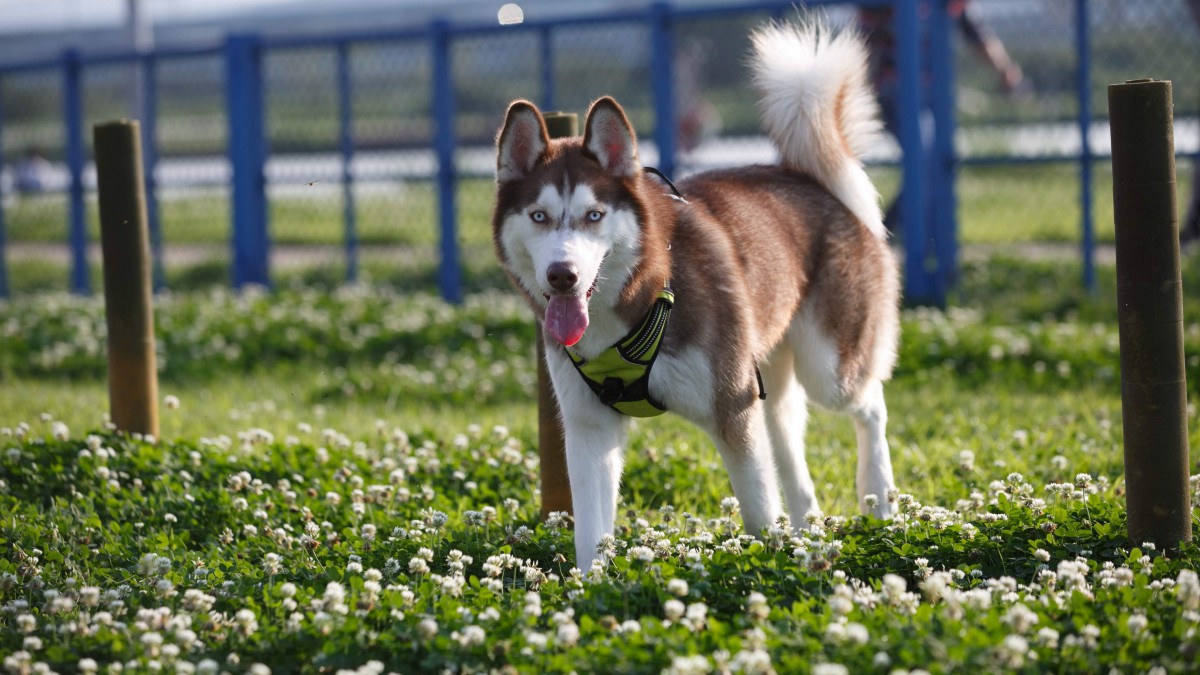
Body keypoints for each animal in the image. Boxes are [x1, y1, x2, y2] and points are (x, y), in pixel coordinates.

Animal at [489, 19, 902, 566]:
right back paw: (810, 532)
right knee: (791, 448)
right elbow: (590, 535)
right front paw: (588, 586)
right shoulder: (587, 428)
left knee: (871, 404)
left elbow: (757, 512)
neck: (637, 300)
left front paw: (767, 568)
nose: (563, 276)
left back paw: (877, 499)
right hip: (770, 377)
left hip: (828, 371)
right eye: (539, 216)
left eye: (593, 216)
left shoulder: (732, 407)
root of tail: (809, 178)